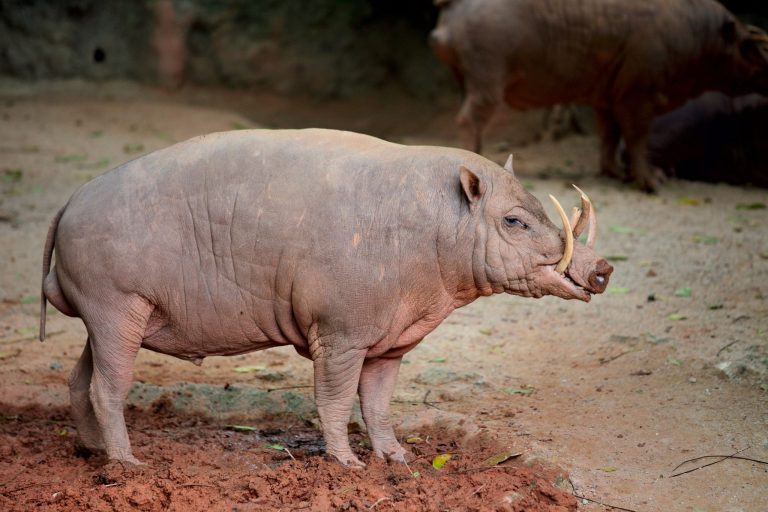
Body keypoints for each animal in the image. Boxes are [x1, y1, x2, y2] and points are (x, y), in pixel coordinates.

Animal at [39, 129, 612, 467]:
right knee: (108, 388)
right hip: (115, 304)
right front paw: (348, 465)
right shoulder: (341, 333)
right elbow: (334, 401)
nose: (602, 269)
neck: (434, 234)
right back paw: (125, 464)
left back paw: (91, 450)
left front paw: (397, 459)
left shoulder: (389, 343)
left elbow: (378, 404)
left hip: (103, 316)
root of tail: (67, 202)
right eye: (514, 221)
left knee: (79, 380)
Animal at [430, 0, 768, 192]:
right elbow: (636, 135)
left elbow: (609, 132)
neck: (702, 37)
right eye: (748, 49)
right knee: (470, 117)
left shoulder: (608, 94)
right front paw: (651, 180)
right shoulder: (639, 90)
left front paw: (613, 173)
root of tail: (451, 9)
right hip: (488, 71)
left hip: (466, 76)